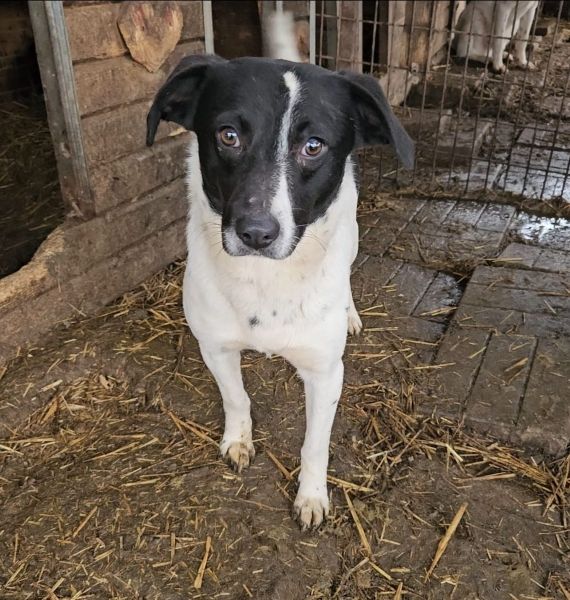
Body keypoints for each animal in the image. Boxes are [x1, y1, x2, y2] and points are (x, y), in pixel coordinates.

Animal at [146, 11, 414, 530]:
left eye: (313, 145)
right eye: (228, 135)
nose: (256, 232)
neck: (266, 281)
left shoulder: (326, 374)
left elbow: (315, 445)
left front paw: (311, 496)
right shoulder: (215, 347)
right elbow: (236, 398)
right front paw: (238, 440)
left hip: (352, 233)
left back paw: (350, 313)